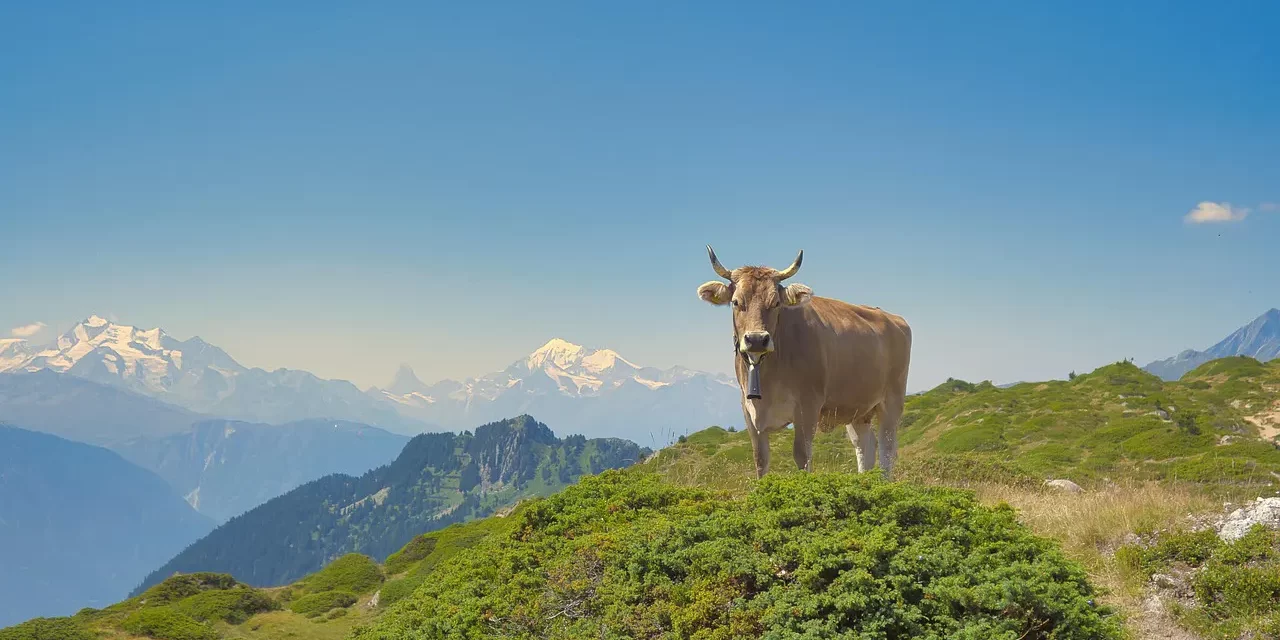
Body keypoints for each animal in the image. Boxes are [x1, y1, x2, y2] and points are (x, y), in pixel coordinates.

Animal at [696, 246, 912, 479]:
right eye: (736, 302)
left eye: (776, 302)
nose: (756, 339)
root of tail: (893, 318)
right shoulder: (749, 411)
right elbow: (760, 460)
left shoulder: (808, 406)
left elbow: (802, 455)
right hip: (857, 408)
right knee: (865, 446)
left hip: (892, 401)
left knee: (887, 448)